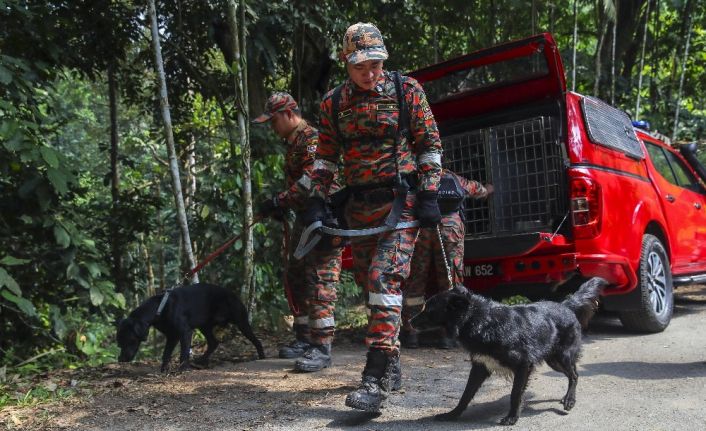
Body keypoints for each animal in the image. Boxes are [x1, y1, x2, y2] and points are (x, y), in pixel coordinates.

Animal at [116, 284, 264, 372]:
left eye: (129, 341)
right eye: (119, 344)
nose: (120, 359)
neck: (159, 308)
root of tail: (234, 294)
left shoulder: (185, 332)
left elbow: (183, 353)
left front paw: (182, 369)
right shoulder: (172, 336)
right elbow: (166, 354)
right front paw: (164, 370)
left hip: (241, 322)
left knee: (257, 341)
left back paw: (262, 357)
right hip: (205, 326)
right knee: (213, 342)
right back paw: (201, 361)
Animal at [412, 278, 604, 426]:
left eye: (429, 310)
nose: (409, 321)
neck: (481, 320)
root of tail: (566, 305)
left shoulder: (523, 365)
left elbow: (515, 394)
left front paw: (512, 418)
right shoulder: (480, 366)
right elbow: (465, 395)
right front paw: (452, 414)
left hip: (561, 357)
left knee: (574, 375)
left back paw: (570, 400)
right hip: (553, 360)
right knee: (572, 374)